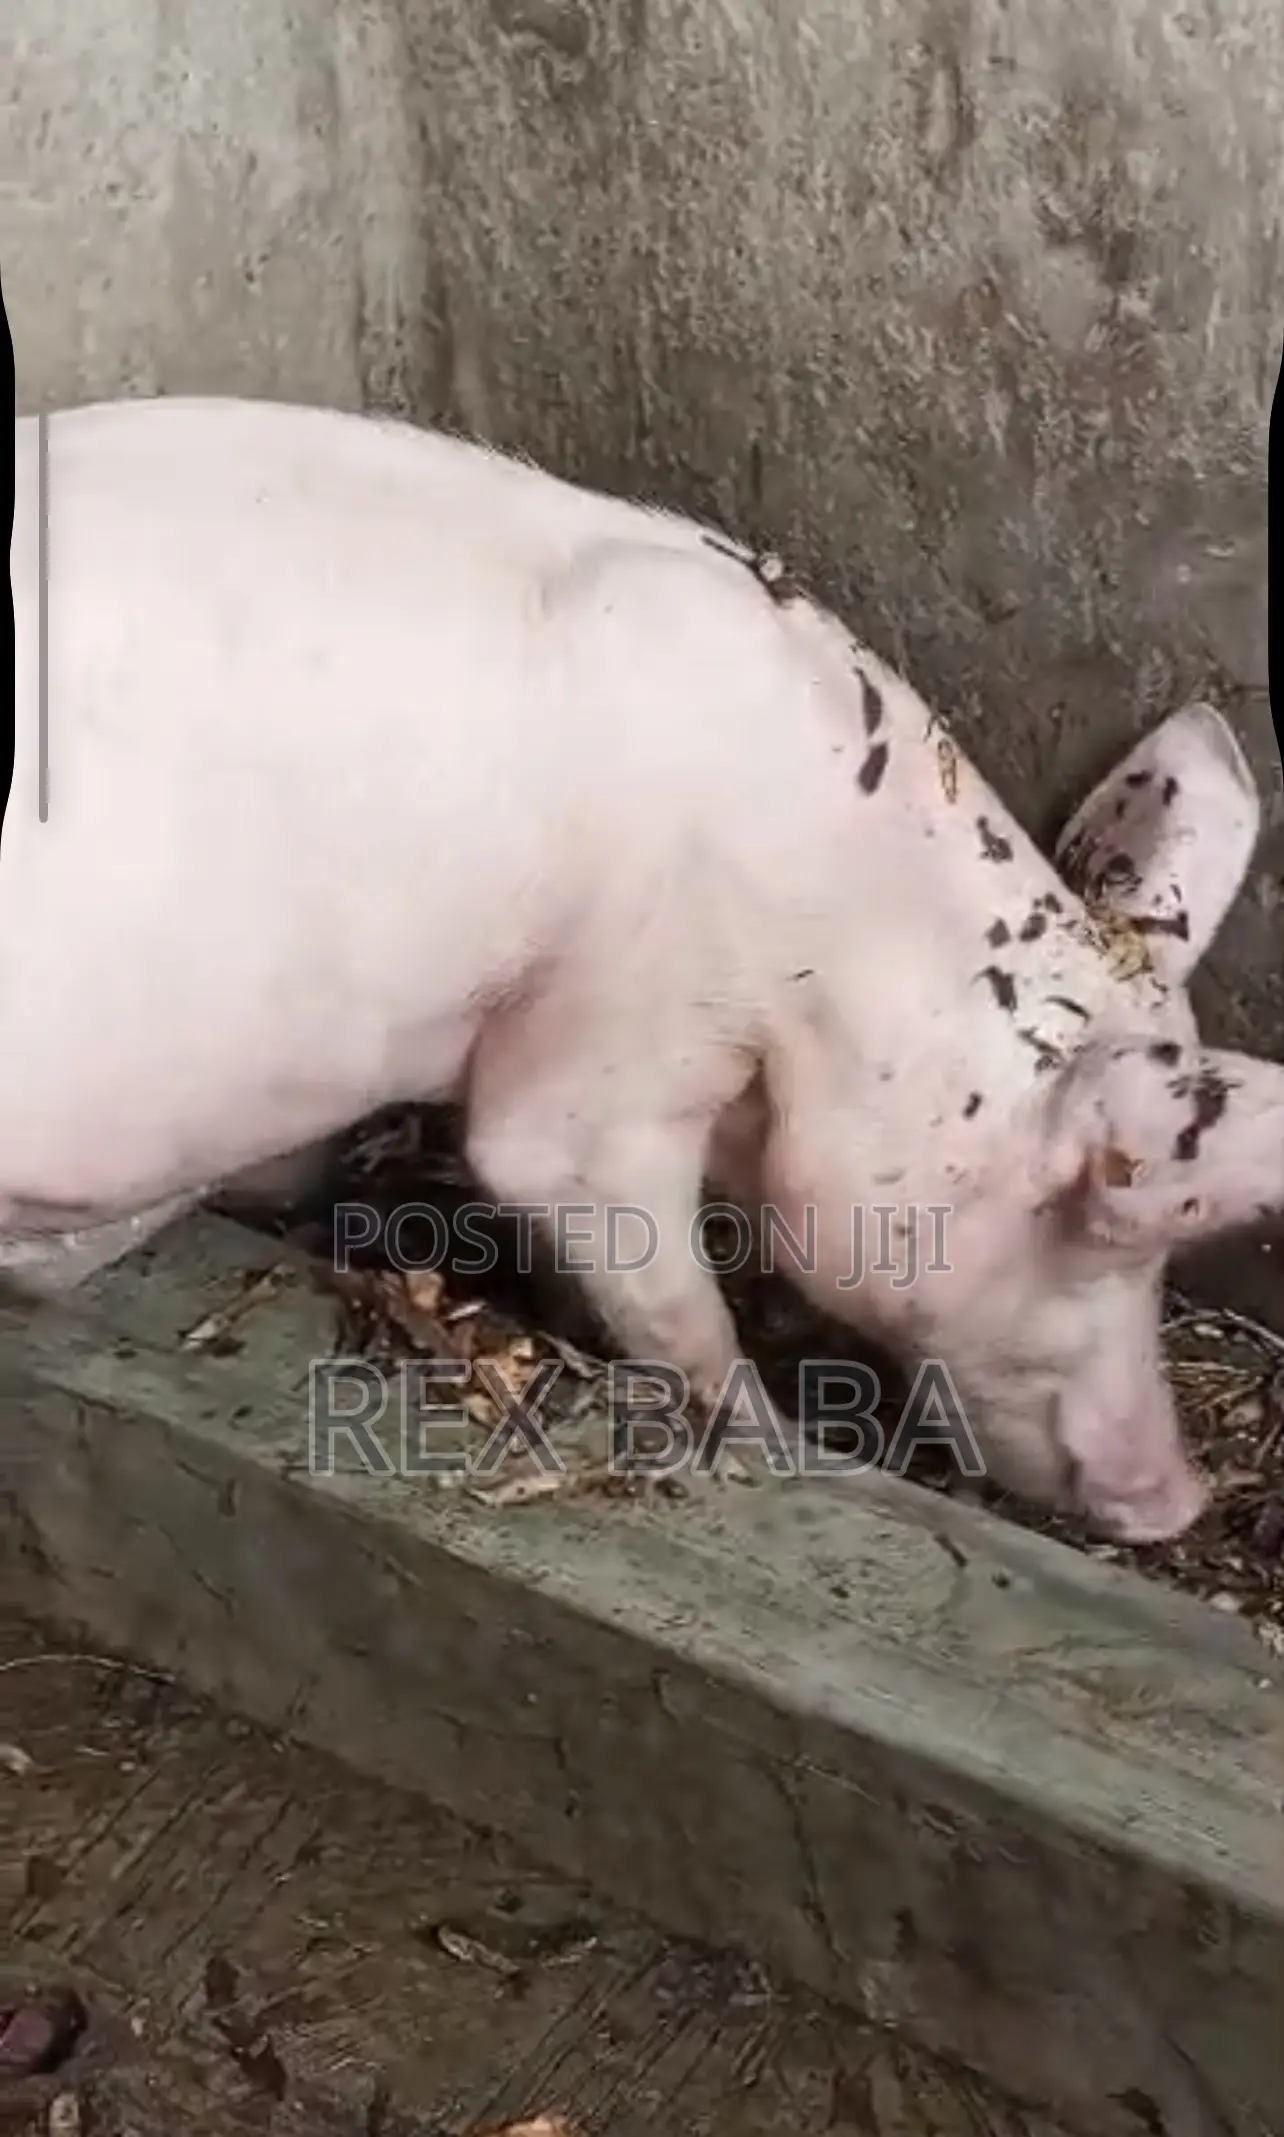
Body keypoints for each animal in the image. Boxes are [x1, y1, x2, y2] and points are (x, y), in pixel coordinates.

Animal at [5, 394, 1281, 1542]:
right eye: (1092, 1215)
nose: (1175, 1501)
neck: (841, 937)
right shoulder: (624, 1021)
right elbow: (611, 1231)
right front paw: (772, 1440)